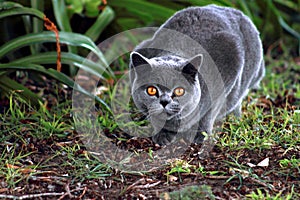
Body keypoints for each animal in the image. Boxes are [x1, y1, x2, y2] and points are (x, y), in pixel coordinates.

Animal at [127, 5, 264, 145]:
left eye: (179, 91)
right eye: (151, 90)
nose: (164, 101)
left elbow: (209, 113)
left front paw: (200, 135)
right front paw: (162, 134)